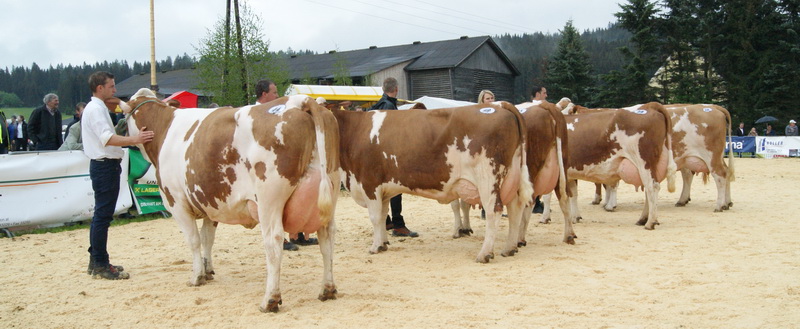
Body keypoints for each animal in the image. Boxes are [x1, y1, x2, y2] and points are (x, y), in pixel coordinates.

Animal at [122, 88, 340, 312]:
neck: (164, 128)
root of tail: (301, 100)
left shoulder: (176, 201)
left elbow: (193, 240)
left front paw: (197, 276)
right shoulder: (211, 204)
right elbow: (207, 238)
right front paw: (208, 271)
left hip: (269, 199)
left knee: (274, 241)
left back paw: (270, 299)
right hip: (330, 193)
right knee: (327, 238)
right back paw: (327, 289)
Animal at [332, 101, 532, 262]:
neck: (356, 130)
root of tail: (498, 105)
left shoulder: (369, 183)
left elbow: (374, 218)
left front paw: (375, 247)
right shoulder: (383, 189)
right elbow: (382, 217)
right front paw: (383, 243)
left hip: (488, 178)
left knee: (494, 210)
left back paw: (485, 254)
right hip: (512, 178)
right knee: (515, 209)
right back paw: (509, 248)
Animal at [450, 100, 576, 246]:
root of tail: (543, 104)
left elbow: (457, 204)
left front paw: (458, 230)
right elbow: (464, 203)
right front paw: (465, 228)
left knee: (527, 203)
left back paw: (518, 239)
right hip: (561, 166)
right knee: (563, 197)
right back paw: (569, 235)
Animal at [540, 99, 680, 228]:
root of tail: (650, 106)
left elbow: (547, 195)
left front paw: (545, 217)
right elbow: (573, 194)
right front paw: (575, 217)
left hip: (644, 162)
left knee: (652, 187)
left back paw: (650, 222)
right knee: (648, 190)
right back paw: (643, 219)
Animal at [592, 103, 736, 213]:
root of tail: (713, 107)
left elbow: (611, 183)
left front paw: (610, 205)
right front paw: (607, 203)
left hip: (711, 157)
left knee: (720, 176)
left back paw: (719, 205)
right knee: (724, 173)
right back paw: (725, 202)